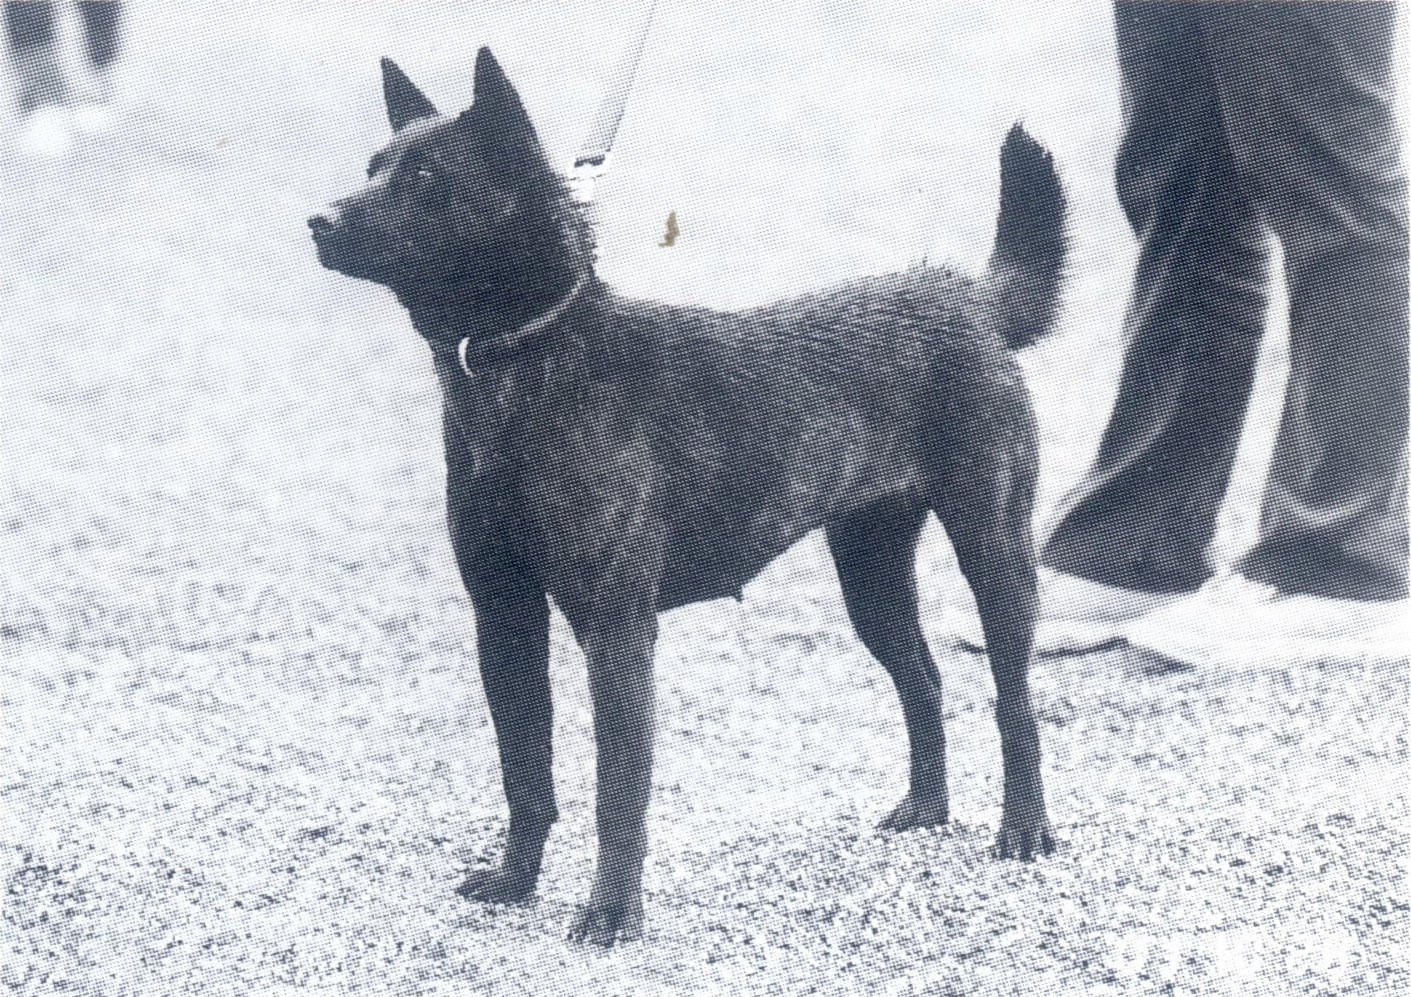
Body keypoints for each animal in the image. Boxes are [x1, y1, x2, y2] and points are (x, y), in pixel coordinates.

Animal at [310, 48, 1065, 946]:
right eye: (374, 167)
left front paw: (611, 912)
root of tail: (967, 299)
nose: (317, 220)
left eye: (425, 176)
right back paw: (926, 806)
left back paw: (1023, 827)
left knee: (1013, 701)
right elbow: (525, 772)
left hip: (995, 552)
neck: (531, 361)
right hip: (870, 576)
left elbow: (616, 791)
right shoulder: (504, 617)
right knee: (923, 681)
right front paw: (516, 879)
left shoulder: (615, 630)